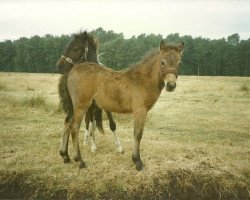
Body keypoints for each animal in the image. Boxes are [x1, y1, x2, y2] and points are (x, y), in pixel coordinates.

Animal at [58, 38, 184, 170]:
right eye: (162, 62)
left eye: (179, 63)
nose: (171, 85)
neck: (143, 79)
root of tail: (71, 71)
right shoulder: (140, 110)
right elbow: (138, 134)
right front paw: (137, 161)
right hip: (81, 106)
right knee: (74, 127)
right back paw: (80, 160)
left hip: (74, 106)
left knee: (67, 123)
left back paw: (65, 156)